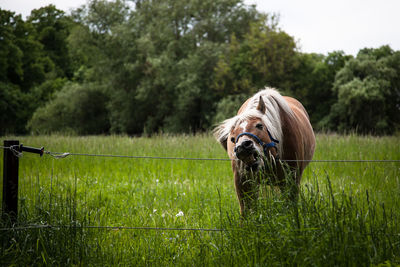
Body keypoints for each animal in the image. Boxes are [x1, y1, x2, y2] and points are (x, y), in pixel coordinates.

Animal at [214, 89, 314, 217]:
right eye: (232, 138)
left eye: (259, 125)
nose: (243, 147)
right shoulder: (242, 182)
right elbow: (246, 210)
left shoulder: (292, 178)